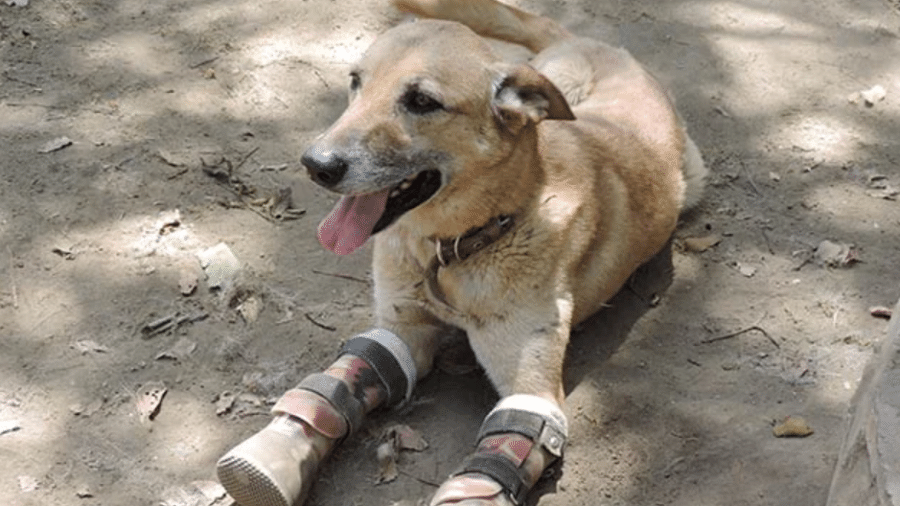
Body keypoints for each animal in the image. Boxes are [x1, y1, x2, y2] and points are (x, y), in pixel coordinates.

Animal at [214, 0, 708, 504]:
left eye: (421, 102)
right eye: (356, 81)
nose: (316, 165)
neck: (453, 249)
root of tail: (600, 47)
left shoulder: (529, 387)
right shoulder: (402, 329)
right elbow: (352, 373)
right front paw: (279, 449)